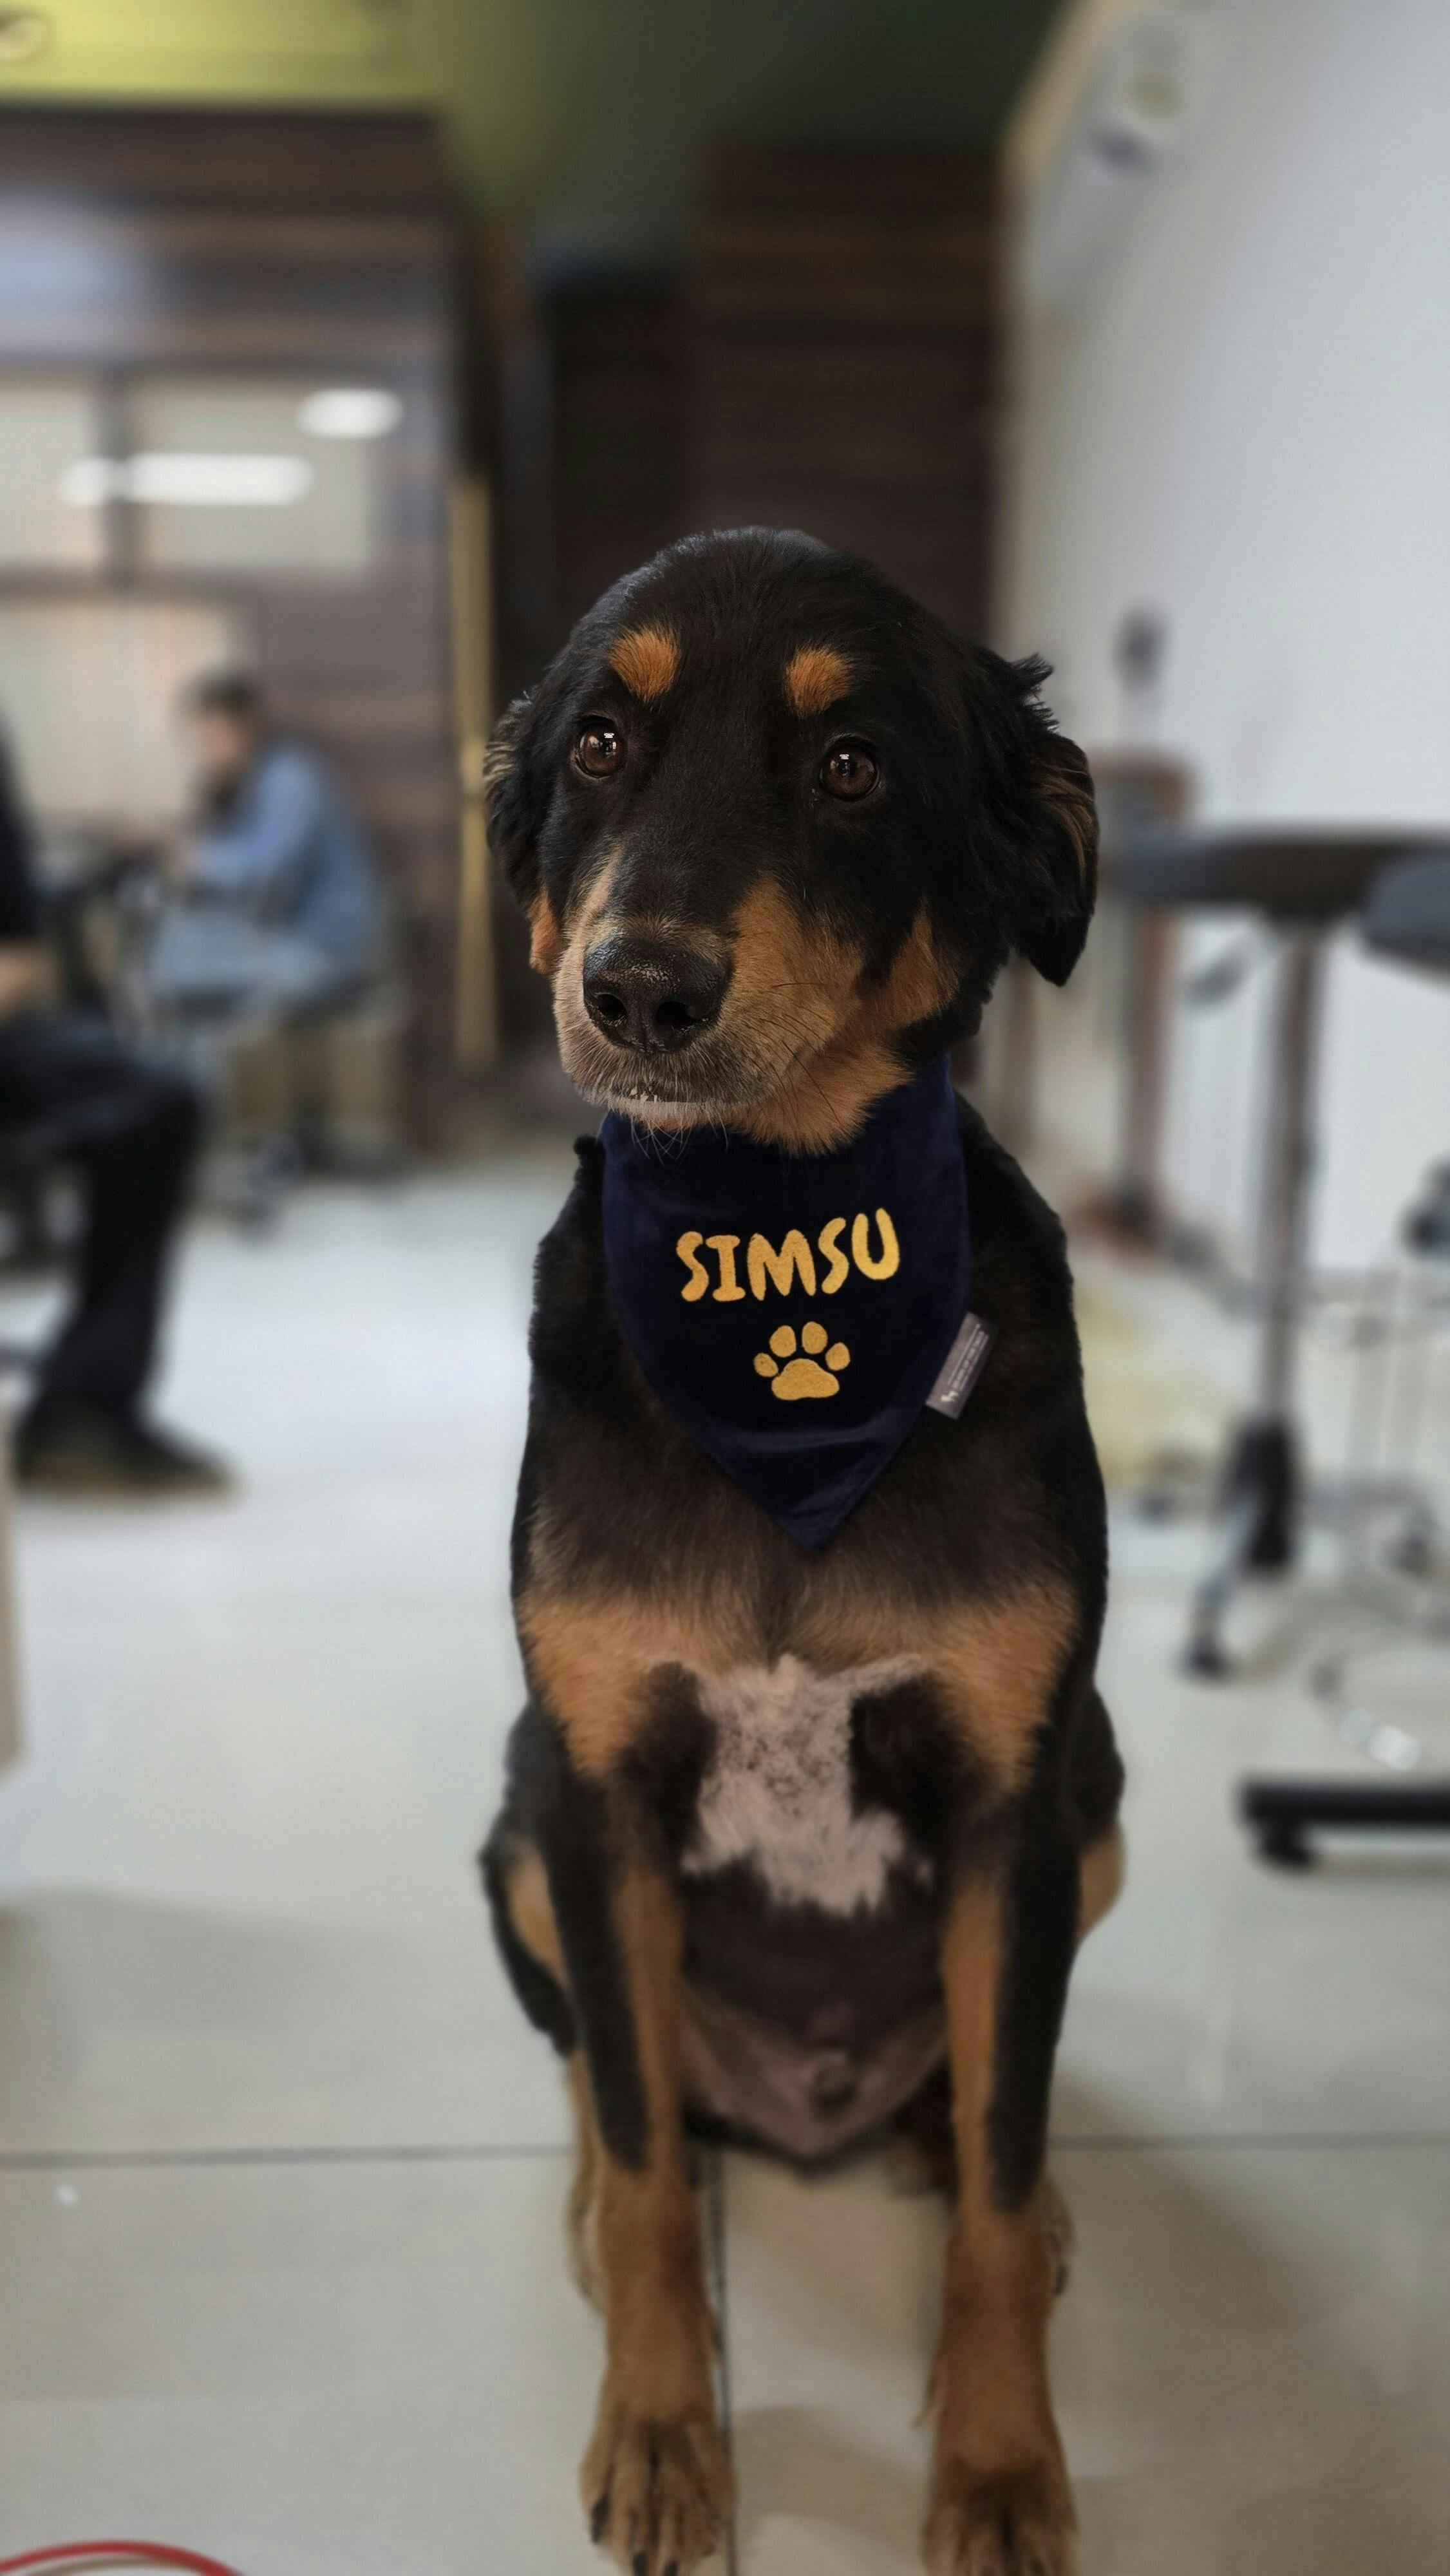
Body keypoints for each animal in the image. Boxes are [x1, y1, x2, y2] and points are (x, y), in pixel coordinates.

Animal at [482, 528, 1124, 2576]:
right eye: (599, 744)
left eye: (852, 768)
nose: (639, 990)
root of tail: (812, 2104)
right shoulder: (596, 1788)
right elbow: (631, 2148)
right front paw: (665, 2429)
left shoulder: (1014, 1802)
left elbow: (997, 2169)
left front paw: (996, 2466)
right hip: (517, 1828)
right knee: (620, 2099)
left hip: (1099, 1802)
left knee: (978, 2107)